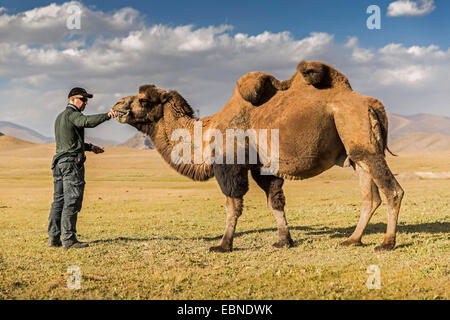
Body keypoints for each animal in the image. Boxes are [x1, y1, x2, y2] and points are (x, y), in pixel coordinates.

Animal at [111, 60, 404, 252]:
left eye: (143, 100)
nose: (117, 105)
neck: (206, 132)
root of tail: (372, 104)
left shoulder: (229, 164)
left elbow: (232, 204)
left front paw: (223, 245)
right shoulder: (263, 167)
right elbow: (275, 201)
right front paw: (284, 241)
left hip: (362, 139)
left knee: (392, 191)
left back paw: (386, 243)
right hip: (356, 152)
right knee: (370, 195)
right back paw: (353, 239)